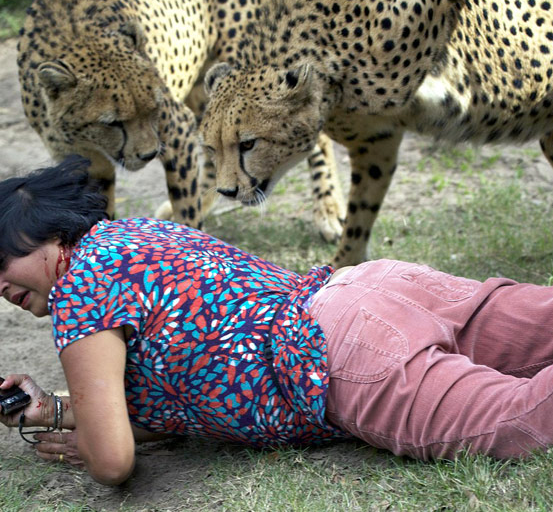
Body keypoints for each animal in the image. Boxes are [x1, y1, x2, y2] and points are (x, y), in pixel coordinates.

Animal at [18, 0, 344, 242]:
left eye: (153, 108)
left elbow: (185, 203)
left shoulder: (176, 130)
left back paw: (328, 210)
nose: (149, 154)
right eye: (111, 122)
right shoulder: (86, 165)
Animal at [201, 1, 552, 268]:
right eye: (211, 149)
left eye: (248, 144)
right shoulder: (377, 140)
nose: (227, 191)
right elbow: (361, 212)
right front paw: (344, 266)